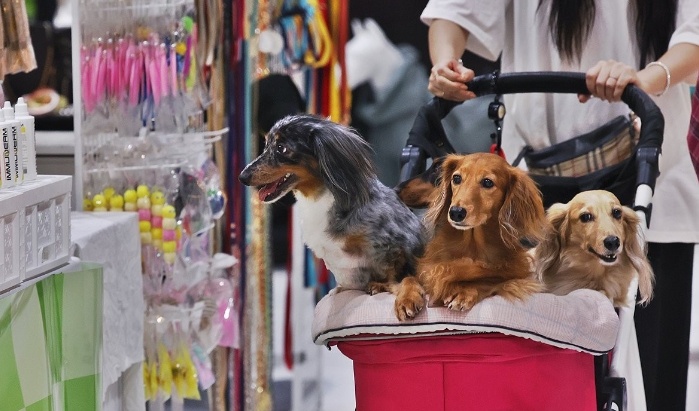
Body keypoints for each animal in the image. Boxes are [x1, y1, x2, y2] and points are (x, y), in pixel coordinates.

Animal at [239, 114, 426, 320]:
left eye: (282, 148)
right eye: (266, 145)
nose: (242, 177)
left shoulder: (399, 245)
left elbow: (404, 277)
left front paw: (406, 298)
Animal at [416, 153, 548, 310]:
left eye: (487, 182)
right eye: (456, 178)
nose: (456, 212)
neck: (473, 243)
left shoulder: (516, 272)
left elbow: (490, 278)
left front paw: (464, 291)